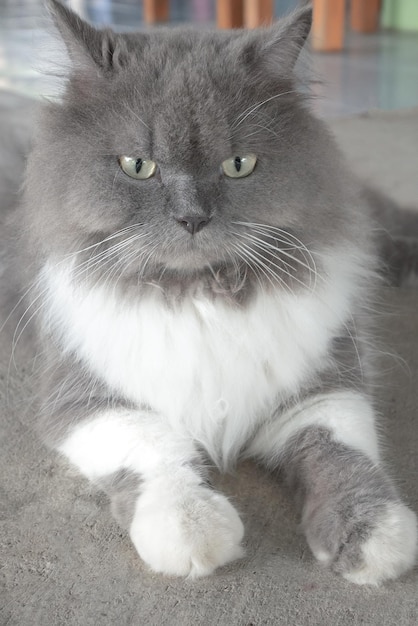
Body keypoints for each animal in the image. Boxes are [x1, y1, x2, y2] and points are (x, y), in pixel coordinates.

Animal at [3, 0, 418, 584]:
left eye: (238, 165)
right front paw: (193, 529)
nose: (192, 218)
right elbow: (158, 450)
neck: (198, 295)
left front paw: (373, 536)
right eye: (137, 166)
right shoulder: (84, 398)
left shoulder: (320, 390)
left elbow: (344, 458)